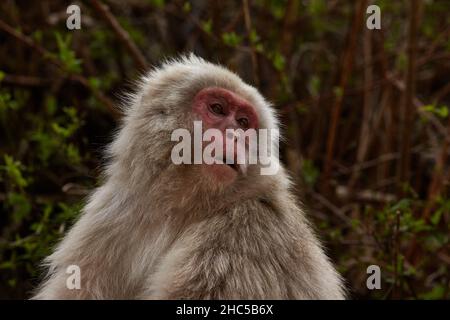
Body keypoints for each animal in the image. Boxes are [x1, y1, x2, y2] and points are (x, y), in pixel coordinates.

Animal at [33, 54, 346, 300]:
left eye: (244, 122)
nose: (234, 135)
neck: (180, 208)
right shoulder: (111, 213)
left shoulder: (244, 232)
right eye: (217, 108)